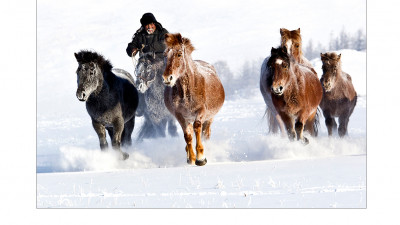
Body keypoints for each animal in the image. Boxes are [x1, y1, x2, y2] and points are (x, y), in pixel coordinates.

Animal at [162, 32, 225, 166]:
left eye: (179, 54)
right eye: (165, 55)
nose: (167, 78)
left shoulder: (201, 111)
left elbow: (197, 128)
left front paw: (201, 158)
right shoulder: (180, 115)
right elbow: (188, 136)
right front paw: (191, 158)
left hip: (210, 118)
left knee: (205, 133)